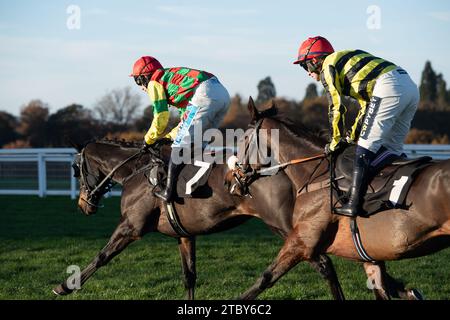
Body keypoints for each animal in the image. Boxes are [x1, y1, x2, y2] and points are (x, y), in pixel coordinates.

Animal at [236, 98, 450, 300]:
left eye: (243, 139)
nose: (235, 179)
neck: (318, 175)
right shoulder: (370, 257)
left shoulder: (302, 242)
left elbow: (266, 278)